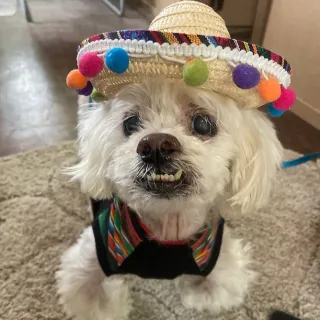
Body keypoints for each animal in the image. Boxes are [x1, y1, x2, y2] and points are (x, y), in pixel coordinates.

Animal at [57, 78, 282, 320]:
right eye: (130, 123)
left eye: (203, 124)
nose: (155, 145)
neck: (168, 225)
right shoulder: (89, 267)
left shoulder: (223, 270)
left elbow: (205, 292)